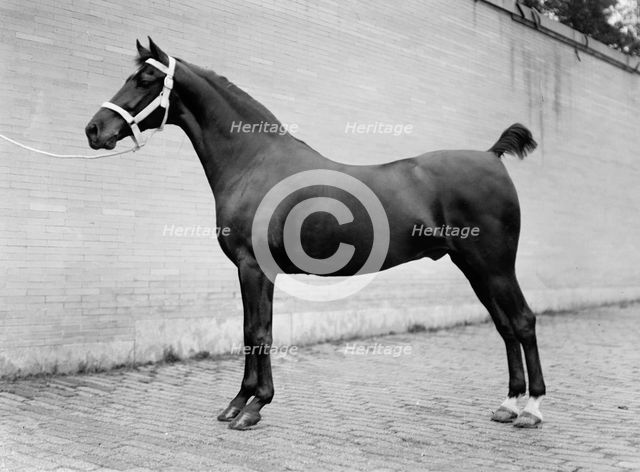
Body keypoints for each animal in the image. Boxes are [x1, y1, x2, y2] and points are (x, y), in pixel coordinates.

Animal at [86, 38, 545, 430]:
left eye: (145, 79)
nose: (93, 130)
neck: (254, 162)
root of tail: (491, 155)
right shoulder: (252, 271)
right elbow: (250, 331)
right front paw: (238, 402)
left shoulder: (254, 268)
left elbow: (259, 333)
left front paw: (253, 407)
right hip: (473, 266)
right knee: (505, 326)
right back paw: (508, 405)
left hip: (494, 265)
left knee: (522, 321)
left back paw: (532, 410)